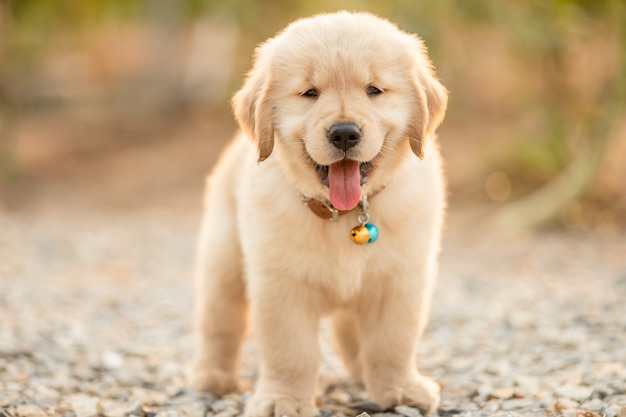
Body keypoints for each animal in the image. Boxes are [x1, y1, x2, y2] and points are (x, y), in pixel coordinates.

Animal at [188, 10, 446, 416]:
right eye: (310, 93)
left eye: (374, 90)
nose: (344, 133)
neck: (343, 215)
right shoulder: (280, 283)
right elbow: (290, 351)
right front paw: (284, 400)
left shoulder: (401, 278)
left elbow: (392, 341)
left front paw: (400, 389)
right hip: (224, 260)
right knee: (220, 323)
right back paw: (214, 377)